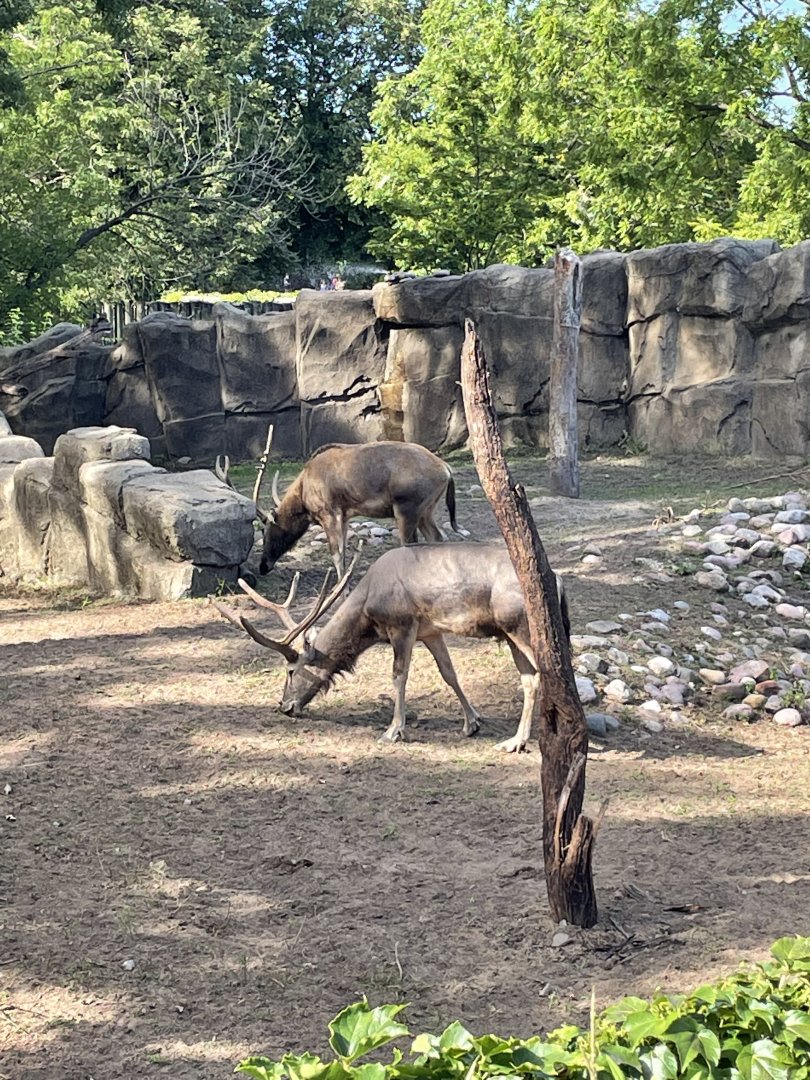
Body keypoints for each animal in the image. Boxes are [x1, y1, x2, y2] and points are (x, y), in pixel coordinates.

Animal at [212, 541, 570, 753]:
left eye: (290, 671)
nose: (284, 706)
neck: (367, 611)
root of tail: (558, 580)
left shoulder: (403, 625)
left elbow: (399, 676)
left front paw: (393, 730)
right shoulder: (431, 632)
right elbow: (449, 673)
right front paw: (472, 722)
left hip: (521, 627)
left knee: (544, 673)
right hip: (510, 634)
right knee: (529, 678)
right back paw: (515, 740)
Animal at [216, 428, 461, 578]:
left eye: (266, 530)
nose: (263, 565)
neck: (305, 488)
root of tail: (446, 469)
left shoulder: (329, 515)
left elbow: (337, 554)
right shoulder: (344, 516)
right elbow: (343, 553)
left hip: (406, 511)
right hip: (425, 513)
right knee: (437, 538)